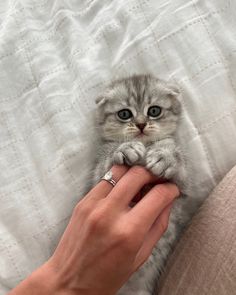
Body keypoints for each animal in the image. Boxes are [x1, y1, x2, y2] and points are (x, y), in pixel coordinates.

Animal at [90, 75, 192, 294]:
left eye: (154, 111)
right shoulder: (96, 176)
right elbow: (106, 161)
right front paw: (125, 148)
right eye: (124, 114)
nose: (141, 125)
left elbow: (177, 158)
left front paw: (165, 157)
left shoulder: (184, 187)